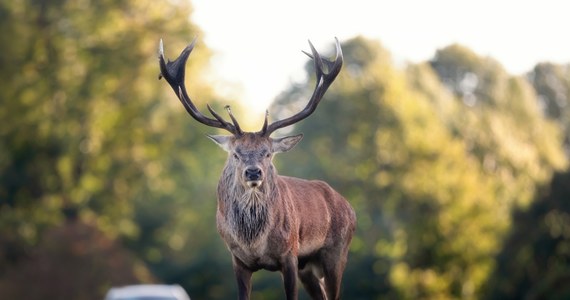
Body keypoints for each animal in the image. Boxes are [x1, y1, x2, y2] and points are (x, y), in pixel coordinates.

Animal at [159, 38, 356, 300]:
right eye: (235, 153)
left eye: (268, 153)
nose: (253, 172)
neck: (254, 243)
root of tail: (348, 206)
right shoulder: (238, 260)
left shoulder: (290, 254)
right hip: (309, 267)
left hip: (337, 252)